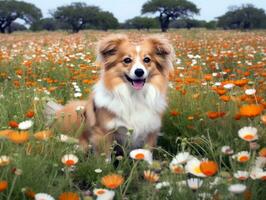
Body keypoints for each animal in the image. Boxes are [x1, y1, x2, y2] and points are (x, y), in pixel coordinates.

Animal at [45, 34, 175, 156]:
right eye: (127, 60)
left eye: (147, 60)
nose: (139, 72)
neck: (134, 96)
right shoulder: (103, 133)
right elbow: (106, 158)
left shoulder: (150, 132)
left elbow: (146, 156)